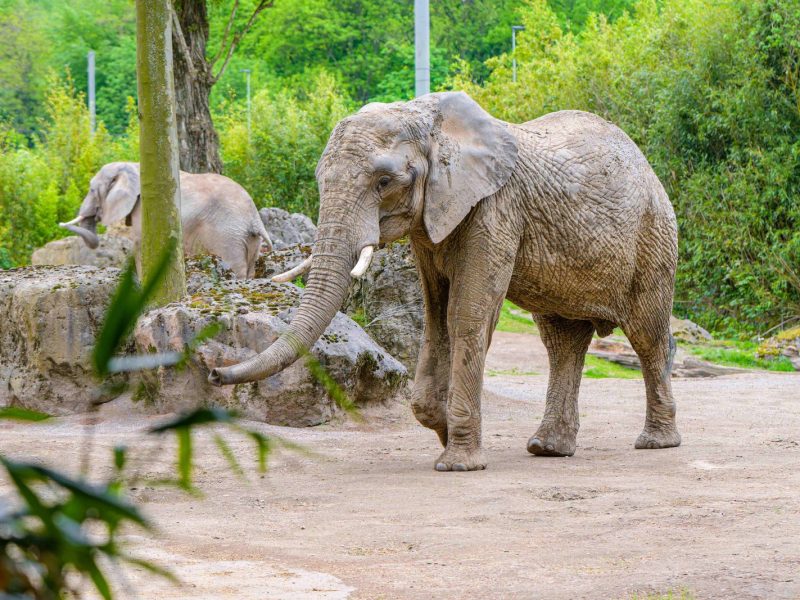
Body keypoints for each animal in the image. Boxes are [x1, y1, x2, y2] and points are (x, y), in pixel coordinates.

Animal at [60, 162, 271, 278]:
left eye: (92, 190)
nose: (60, 223)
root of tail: (254, 218)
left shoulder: (144, 208)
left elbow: (141, 244)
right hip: (247, 239)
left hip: (227, 236)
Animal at [209, 91, 681, 472]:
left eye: (384, 182)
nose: (213, 372)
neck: (430, 122)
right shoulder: (431, 226)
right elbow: (435, 319)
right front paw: (439, 429)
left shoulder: (496, 208)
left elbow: (466, 316)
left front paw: (457, 462)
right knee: (561, 341)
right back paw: (548, 449)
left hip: (654, 235)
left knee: (646, 334)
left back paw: (656, 443)